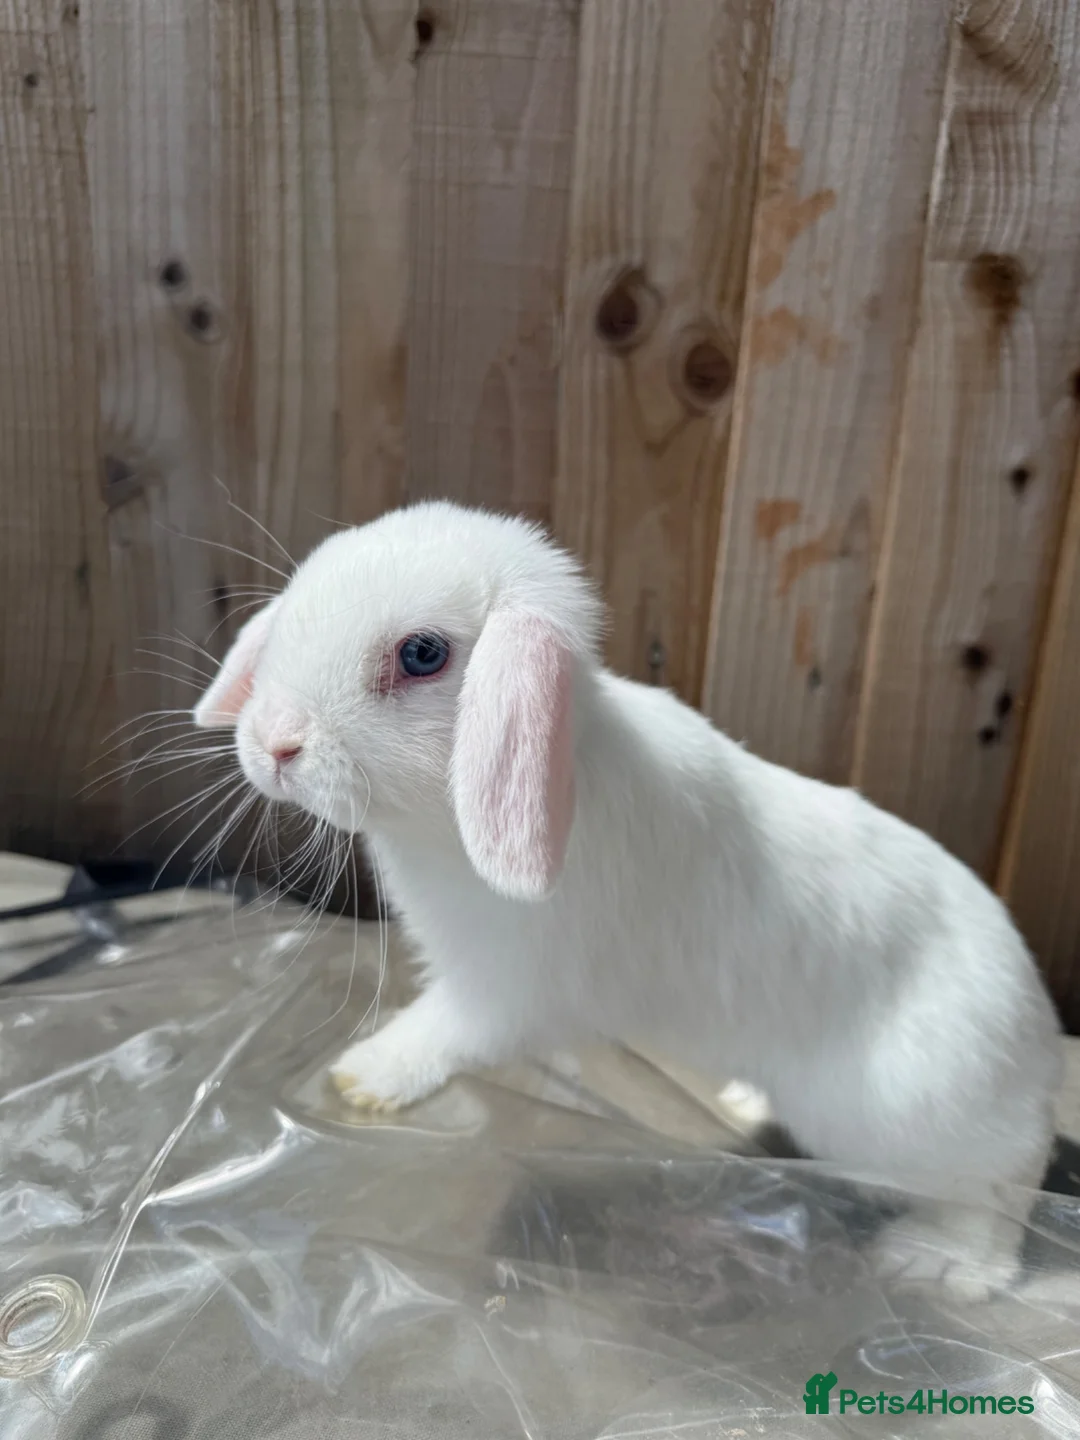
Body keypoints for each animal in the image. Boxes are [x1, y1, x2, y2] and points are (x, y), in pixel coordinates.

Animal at [193, 500, 1062, 1301]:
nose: (274, 743)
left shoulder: (503, 991)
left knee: (1004, 1185)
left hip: (921, 1119)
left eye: (422, 654)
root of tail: (1036, 1037)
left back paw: (940, 1264)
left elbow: (444, 1033)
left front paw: (366, 1073)